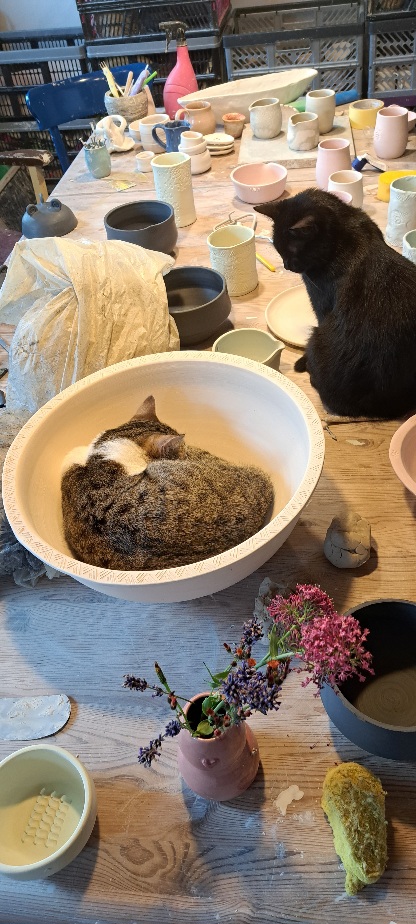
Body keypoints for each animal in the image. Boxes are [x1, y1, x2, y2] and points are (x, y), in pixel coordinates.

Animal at [255, 188, 416, 419]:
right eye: (278, 250)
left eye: (291, 252)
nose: (287, 265)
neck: (346, 232)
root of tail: (372, 408)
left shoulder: (319, 303)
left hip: (316, 337)